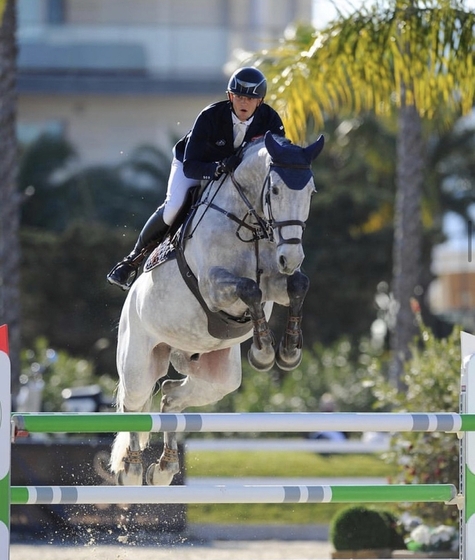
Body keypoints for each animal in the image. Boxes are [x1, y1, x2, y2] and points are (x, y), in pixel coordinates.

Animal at [110, 131, 326, 486]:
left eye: (310, 191)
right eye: (275, 190)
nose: (291, 257)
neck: (250, 223)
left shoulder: (276, 284)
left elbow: (297, 285)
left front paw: (288, 352)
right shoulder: (214, 287)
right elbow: (249, 287)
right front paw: (264, 353)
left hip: (218, 378)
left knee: (170, 394)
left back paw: (164, 468)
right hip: (139, 362)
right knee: (134, 406)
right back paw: (132, 469)